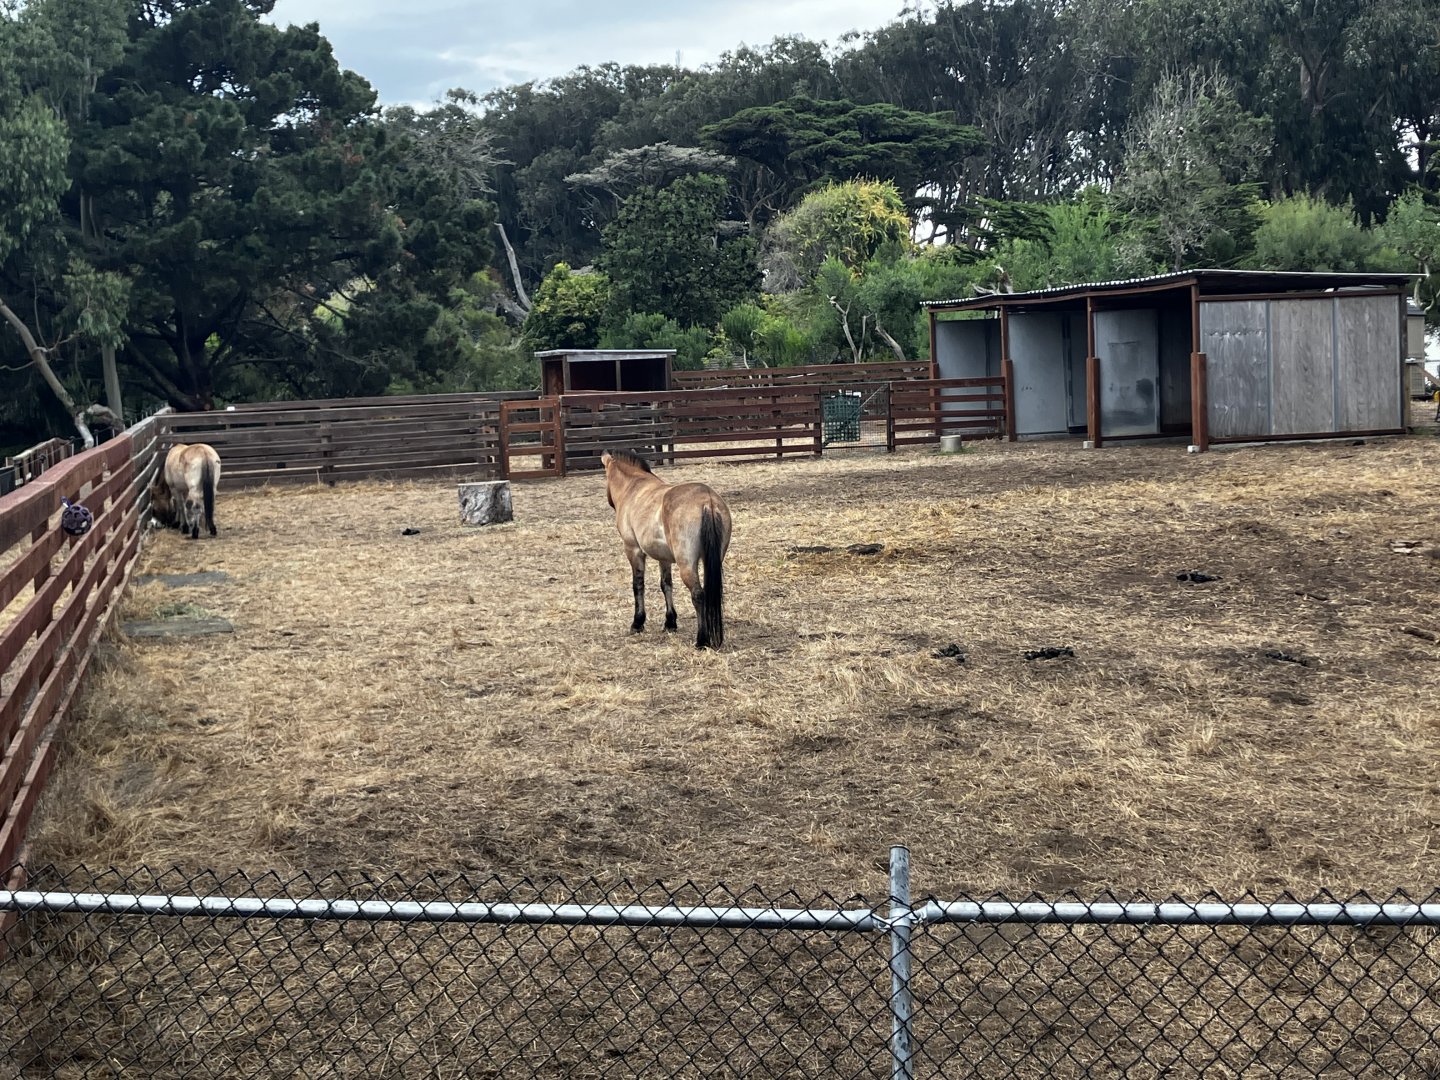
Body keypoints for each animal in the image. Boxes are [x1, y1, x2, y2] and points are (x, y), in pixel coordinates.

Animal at [601, 450, 732, 649]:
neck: (633, 487)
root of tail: (707, 501)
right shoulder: (664, 558)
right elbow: (666, 585)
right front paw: (670, 622)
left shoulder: (633, 550)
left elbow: (638, 585)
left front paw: (637, 623)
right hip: (713, 560)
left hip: (686, 564)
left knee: (698, 594)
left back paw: (701, 640)